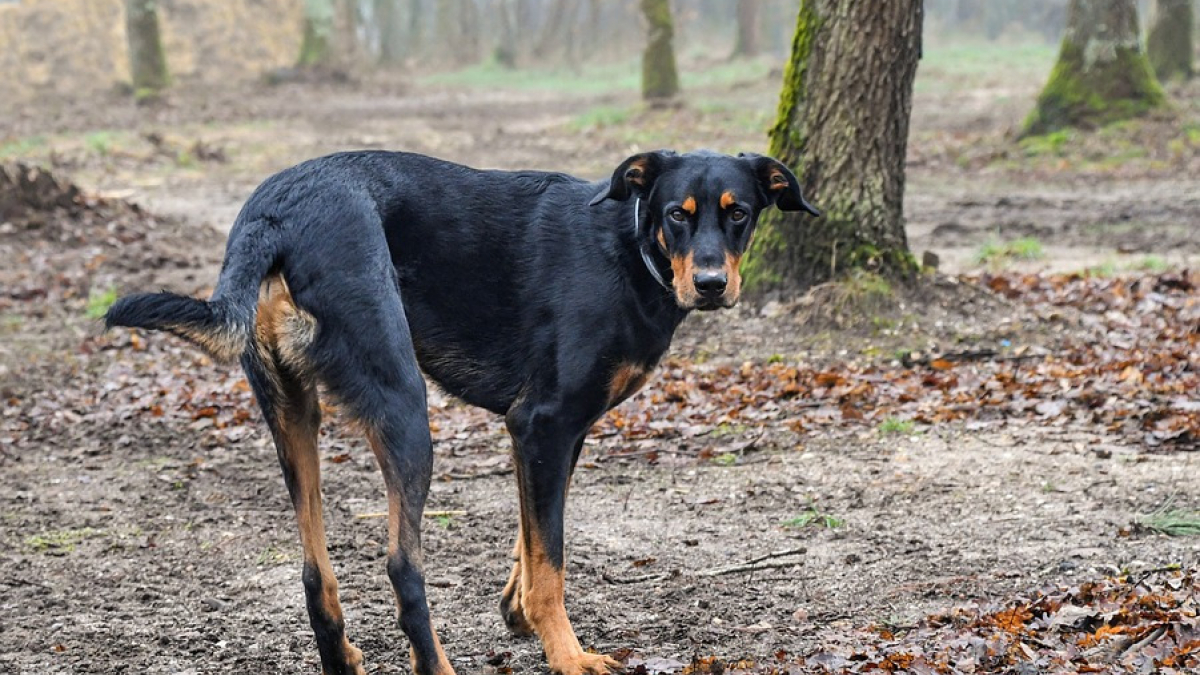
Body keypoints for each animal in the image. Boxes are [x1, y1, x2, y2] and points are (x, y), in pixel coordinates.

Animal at [105, 149, 816, 672]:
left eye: (739, 214)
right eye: (676, 213)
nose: (712, 286)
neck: (628, 249)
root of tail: (272, 215)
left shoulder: (554, 435)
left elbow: (532, 540)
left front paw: (517, 609)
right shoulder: (543, 423)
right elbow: (551, 557)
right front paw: (567, 654)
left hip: (292, 415)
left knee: (313, 573)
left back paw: (342, 657)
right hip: (405, 410)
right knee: (402, 568)